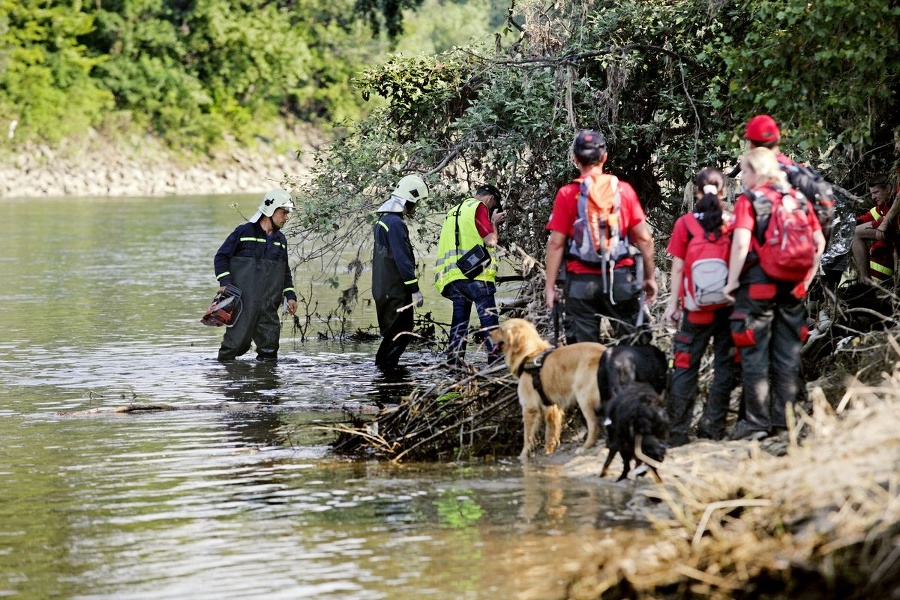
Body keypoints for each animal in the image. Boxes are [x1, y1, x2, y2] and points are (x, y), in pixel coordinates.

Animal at [488, 318, 608, 460]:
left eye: (501, 329)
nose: (488, 334)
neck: (529, 354)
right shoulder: (551, 407)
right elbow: (550, 434)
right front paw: (548, 452)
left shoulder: (529, 407)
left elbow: (527, 436)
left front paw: (523, 456)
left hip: (584, 398)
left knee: (594, 424)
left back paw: (585, 447)